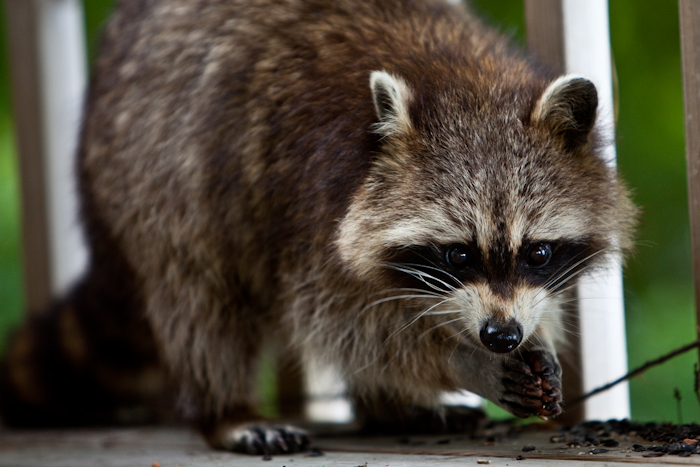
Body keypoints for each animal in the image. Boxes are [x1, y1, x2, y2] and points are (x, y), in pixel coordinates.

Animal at [0, 0, 636, 455]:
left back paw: (388, 408)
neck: (467, 84)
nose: (500, 336)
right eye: (458, 256)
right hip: (153, 173)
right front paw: (461, 360)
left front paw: (535, 337)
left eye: (538, 253)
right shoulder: (308, 201)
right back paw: (225, 409)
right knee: (200, 293)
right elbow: (345, 323)